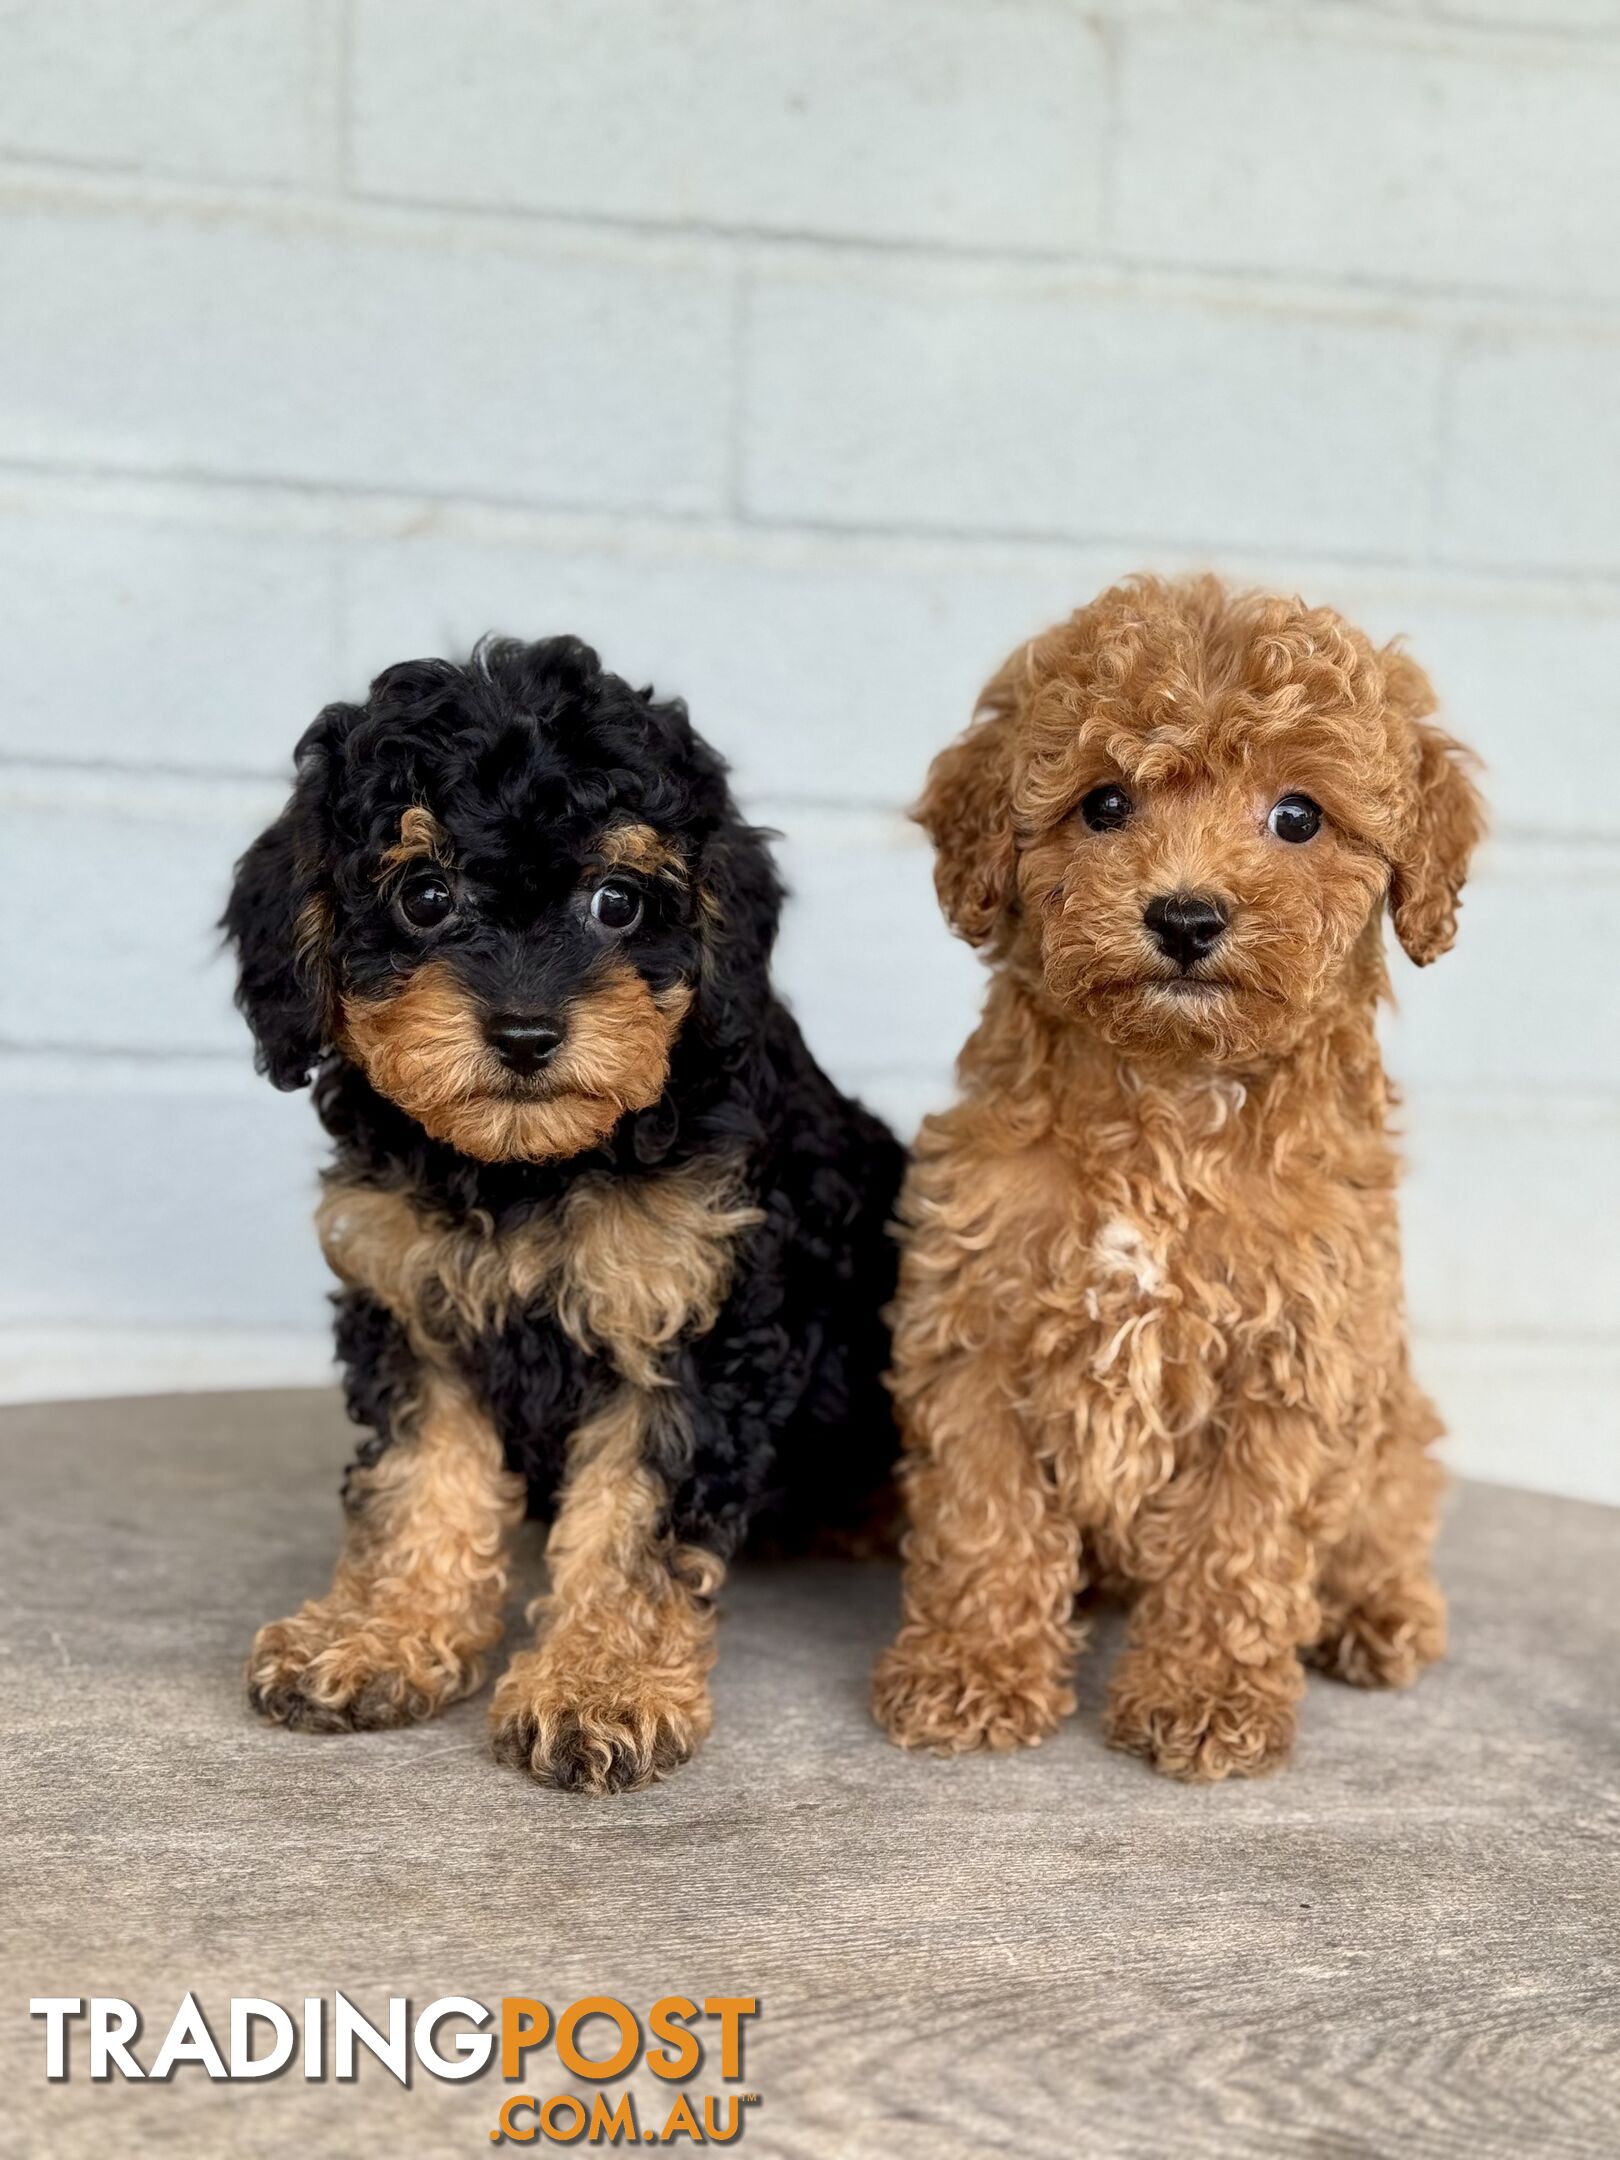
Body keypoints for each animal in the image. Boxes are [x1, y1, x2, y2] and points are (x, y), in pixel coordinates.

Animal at [223, 630, 907, 1797]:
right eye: (426, 895)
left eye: (618, 902)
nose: (528, 1033)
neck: (525, 1171)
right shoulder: (414, 1305)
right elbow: (421, 1482)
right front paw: (379, 1636)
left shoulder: (695, 1323)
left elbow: (632, 1523)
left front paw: (599, 1688)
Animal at [876, 570, 1486, 1771]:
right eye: (1104, 805)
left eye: (1298, 815)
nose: (1187, 914)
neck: (1167, 1099)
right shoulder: (974, 1322)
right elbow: (984, 1516)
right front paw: (972, 1669)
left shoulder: (1291, 1362)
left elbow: (1236, 1543)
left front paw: (1206, 1693)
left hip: (1392, 1420)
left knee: (1390, 1512)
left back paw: (1377, 1612)